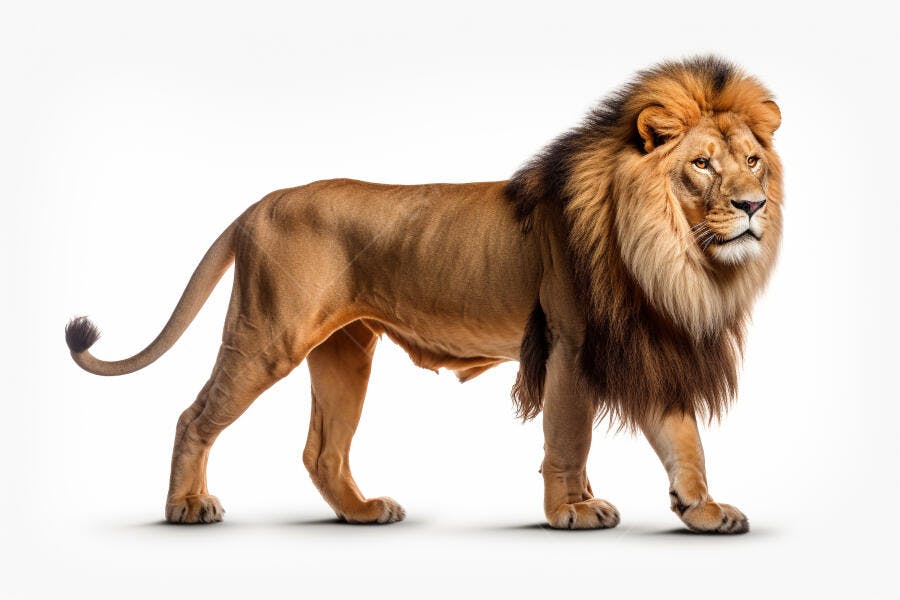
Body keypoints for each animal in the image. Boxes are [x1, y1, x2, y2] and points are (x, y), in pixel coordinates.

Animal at [65, 56, 782, 533]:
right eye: (701, 165)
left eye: (752, 160)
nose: (755, 206)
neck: (670, 256)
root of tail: (258, 205)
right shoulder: (571, 344)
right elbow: (568, 437)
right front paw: (572, 510)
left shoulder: (645, 341)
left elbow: (683, 440)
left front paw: (702, 509)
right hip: (268, 335)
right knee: (195, 417)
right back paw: (185, 507)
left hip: (344, 352)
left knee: (322, 450)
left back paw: (361, 512)